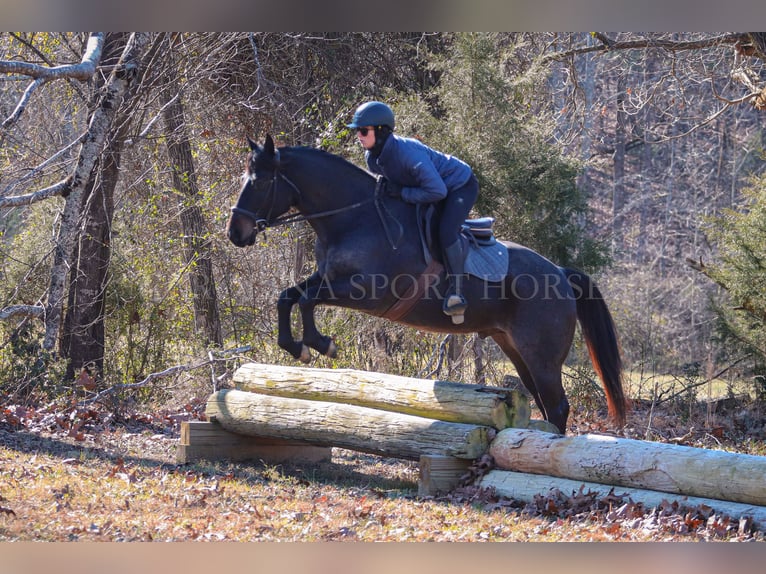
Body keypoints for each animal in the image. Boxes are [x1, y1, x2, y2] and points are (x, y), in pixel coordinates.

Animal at [225, 135, 628, 434]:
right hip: (514, 347)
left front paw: (320, 344)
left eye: (260, 181)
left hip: (541, 354)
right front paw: (296, 347)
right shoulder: (328, 277)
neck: (355, 218)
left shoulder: (366, 292)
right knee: (546, 404)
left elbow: (308, 301)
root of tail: (560, 273)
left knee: (557, 406)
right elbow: (287, 297)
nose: (235, 234)